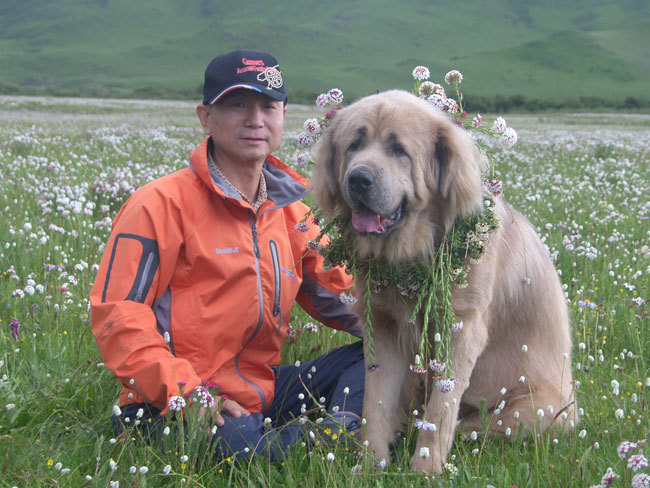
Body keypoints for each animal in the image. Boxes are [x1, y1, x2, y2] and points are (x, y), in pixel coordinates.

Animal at [312, 90, 576, 472]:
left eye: (398, 150)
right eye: (354, 145)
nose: (358, 179)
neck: (415, 253)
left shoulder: (461, 328)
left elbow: (440, 409)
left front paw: (425, 467)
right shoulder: (384, 326)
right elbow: (375, 402)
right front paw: (371, 464)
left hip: (536, 407)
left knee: (476, 425)